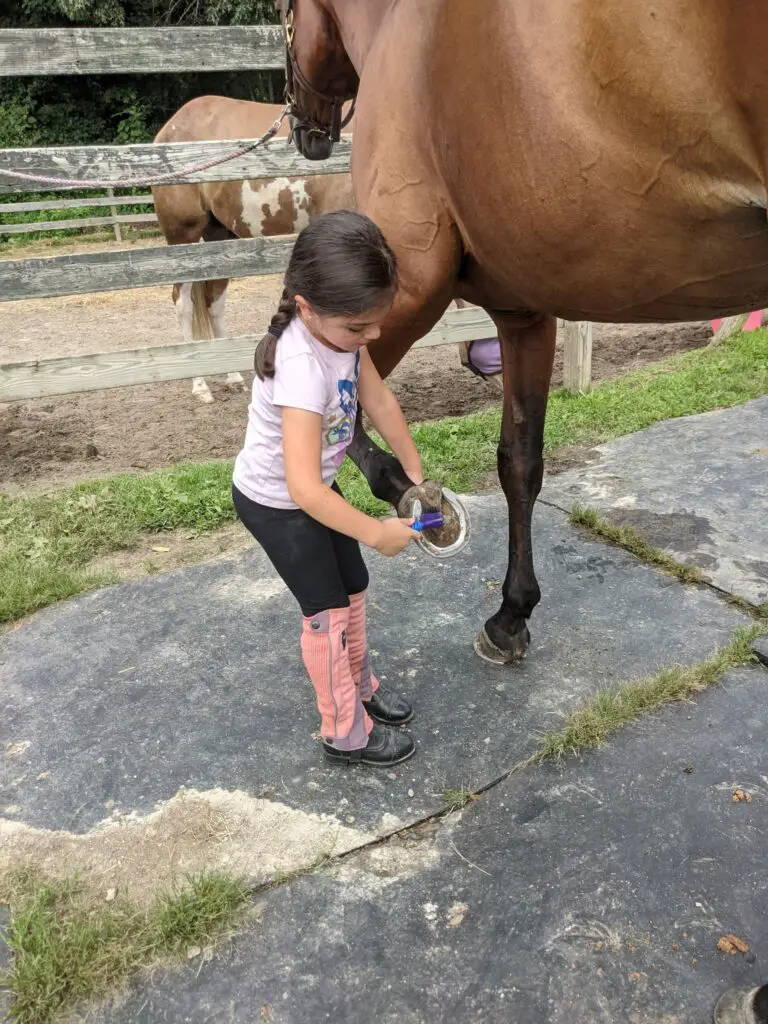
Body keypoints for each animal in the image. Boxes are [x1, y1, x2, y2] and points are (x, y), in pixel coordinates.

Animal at [152, 96, 354, 399]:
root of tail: (168, 128)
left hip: (220, 237)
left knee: (214, 301)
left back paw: (233, 377)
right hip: (182, 238)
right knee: (183, 304)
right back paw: (199, 385)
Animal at [282, 0, 768, 663]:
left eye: (285, 16)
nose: (304, 129)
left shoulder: (404, 290)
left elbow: (344, 423)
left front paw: (418, 501)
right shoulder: (524, 315)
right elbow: (520, 461)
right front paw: (512, 614)